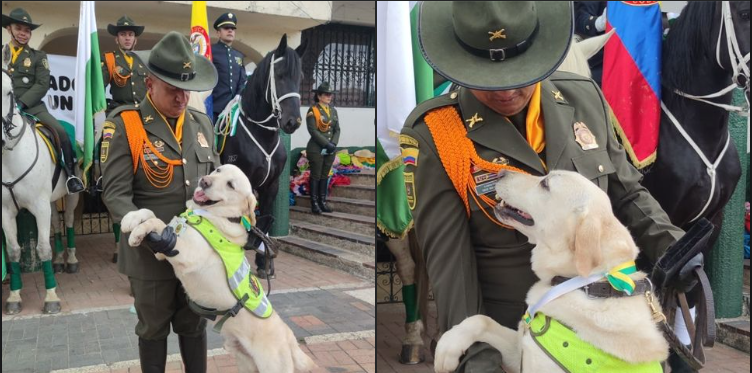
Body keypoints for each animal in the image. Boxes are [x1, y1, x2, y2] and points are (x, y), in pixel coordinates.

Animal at [1, 45, 78, 314]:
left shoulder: (39, 206)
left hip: (72, 195)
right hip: (52, 201)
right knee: (56, 223)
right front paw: (14, 297)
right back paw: (59, 261)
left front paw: (51, 296)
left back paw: (71, 260)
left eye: (9, 91)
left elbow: (42, 248)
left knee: (68, 221)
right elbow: (13, 251)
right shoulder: (6, 211)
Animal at [122, 165, 316, 372]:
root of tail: (291, 340)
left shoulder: (184, 252)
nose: (205, 181)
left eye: (231, 184)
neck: (209, 215)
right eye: (217, 170)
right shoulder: (164, 251)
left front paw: (137, 232)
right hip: (246, 364)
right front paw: (130, 218)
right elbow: (150, 212)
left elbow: (157, 222)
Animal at [212, 35, 306, 278]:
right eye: (280, 75)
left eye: (300, 77)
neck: (262, 135)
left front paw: (264, 261)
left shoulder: (271, 185)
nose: (293, 122)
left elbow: (265, 221)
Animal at [432, 169, 668, 372]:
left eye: (545, 183)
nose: (500, 172)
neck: (589, 284)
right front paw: (447, 347)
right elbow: (481, 320)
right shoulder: (521, 349)